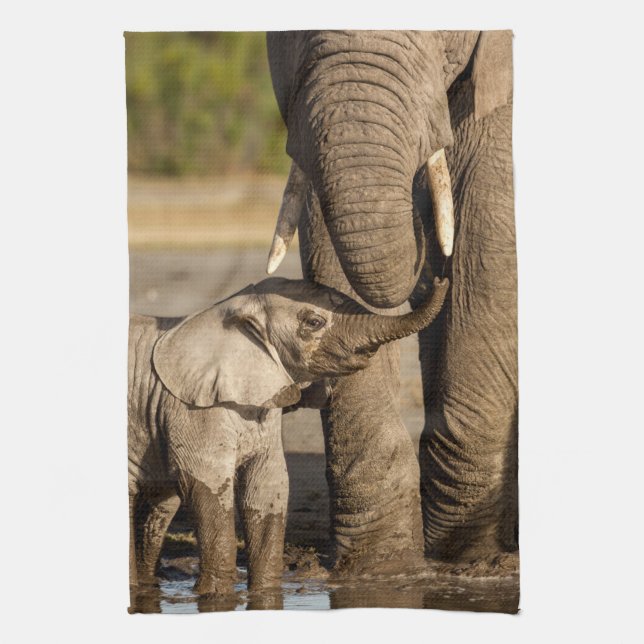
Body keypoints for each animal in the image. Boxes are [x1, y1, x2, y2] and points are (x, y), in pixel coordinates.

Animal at [128, 275, 448, 605]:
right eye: (314, 322)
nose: (439, 280)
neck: (227, 310)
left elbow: (267, 488)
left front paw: (266, 594)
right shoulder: (193, 410)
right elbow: (206, 485)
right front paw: (215, 598)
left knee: (160, 505)